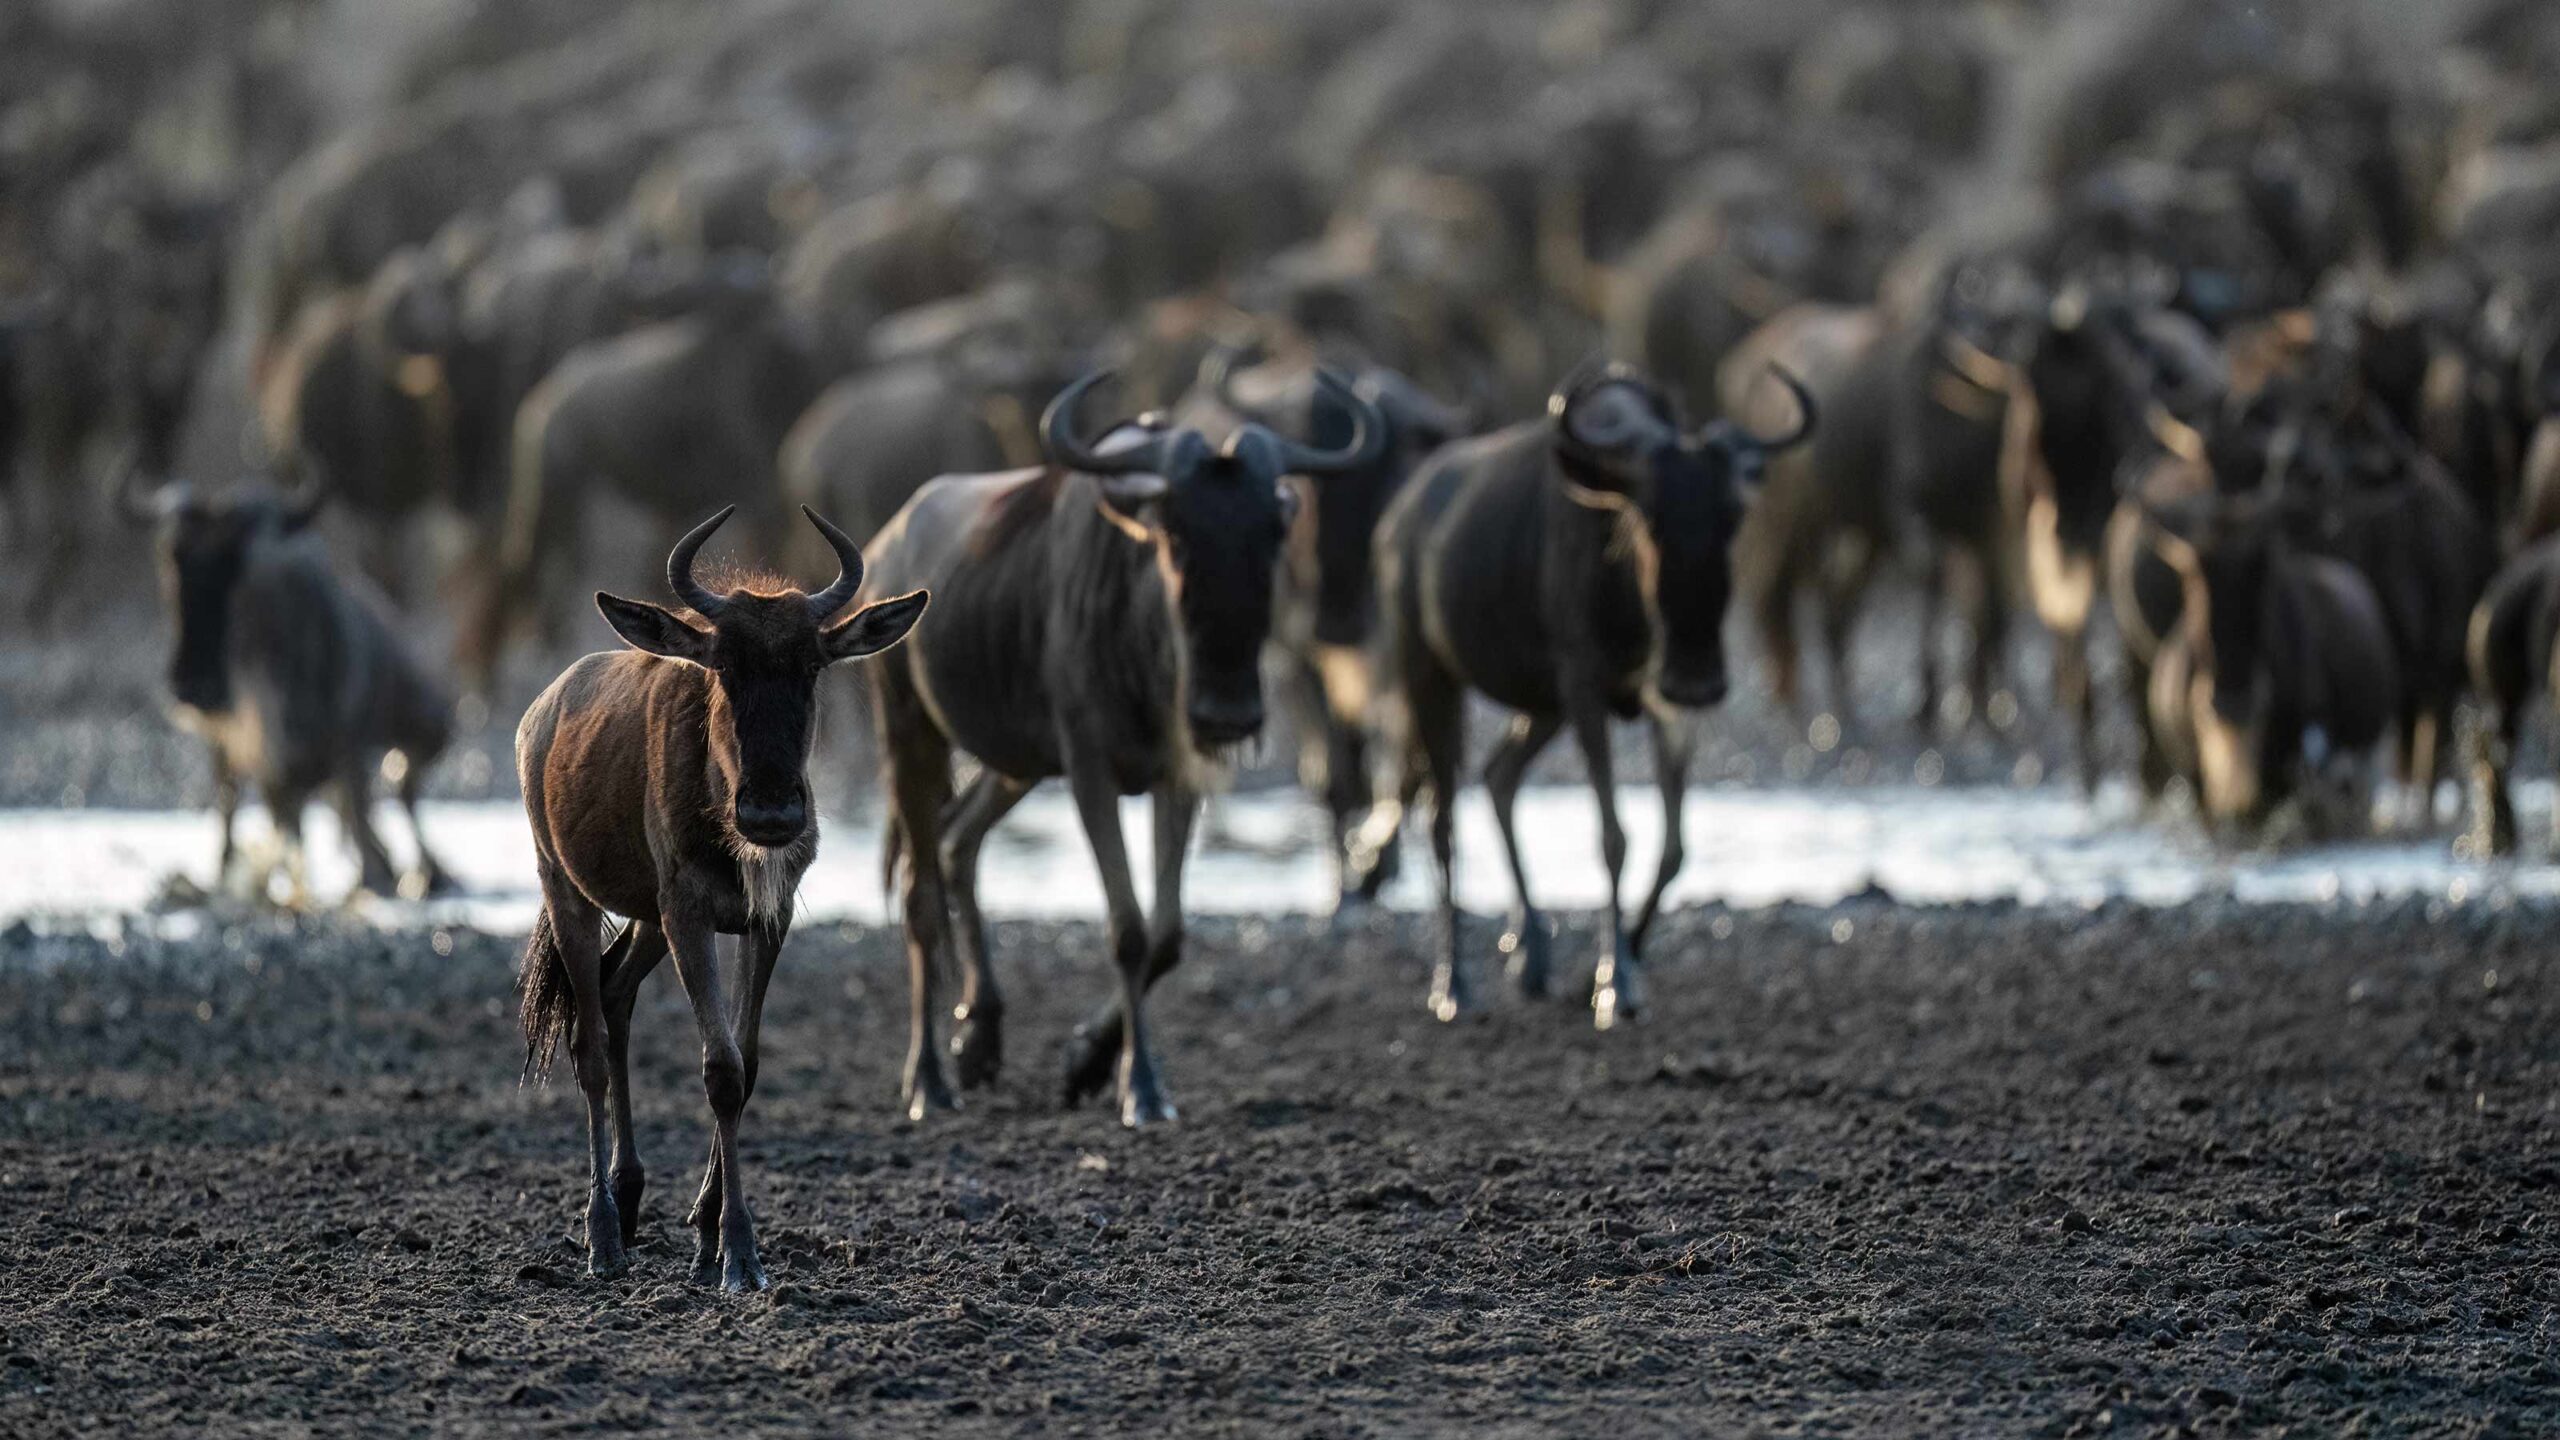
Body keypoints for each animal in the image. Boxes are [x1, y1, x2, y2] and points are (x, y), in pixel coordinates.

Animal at [514, 507, 926, 1291]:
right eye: (724, 667)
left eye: (811, 666)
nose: (771, 813)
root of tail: (539, 714)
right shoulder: (691, 916)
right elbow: (720, 1068)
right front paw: (737, 1250)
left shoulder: (767, 919)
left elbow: (749, 1062)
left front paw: (707, 1232)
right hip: (567, 891)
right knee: (588, 1043)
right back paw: (602, 1235)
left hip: (646, 919)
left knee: (615, 996)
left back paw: (630, 1197)